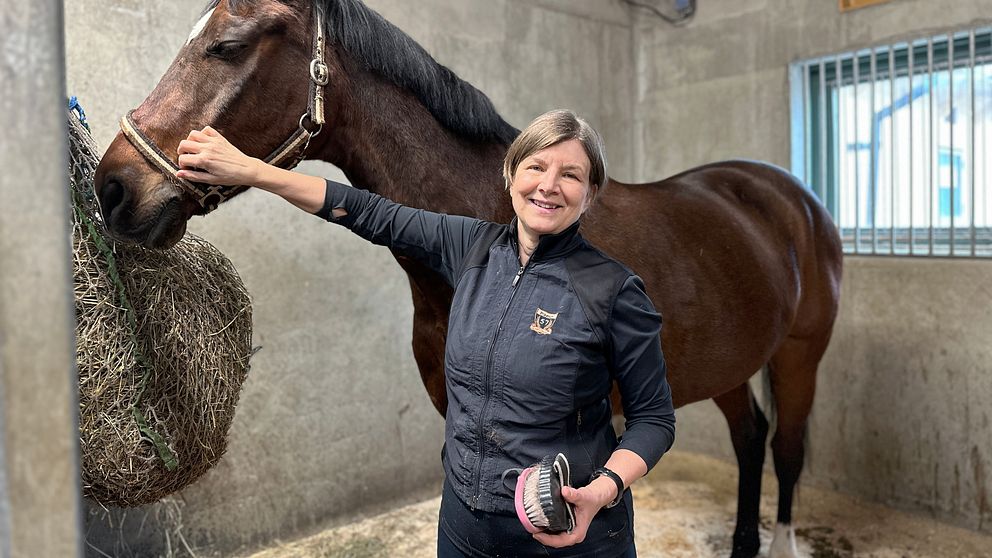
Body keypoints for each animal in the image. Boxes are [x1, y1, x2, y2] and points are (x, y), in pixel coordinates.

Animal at [93, 2, 840, 556]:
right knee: (750, 439)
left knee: (786, 448)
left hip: (800, 357)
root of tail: (787, 195)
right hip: (729, 363)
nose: (113, 188)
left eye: (227, 45)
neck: (499, 228)